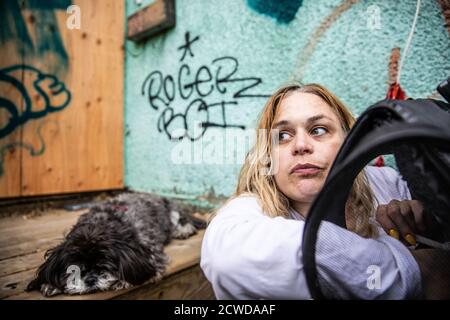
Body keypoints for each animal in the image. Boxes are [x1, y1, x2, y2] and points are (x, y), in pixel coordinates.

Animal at [27, 191, 203, 296]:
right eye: (74, 269)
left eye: (104, 265)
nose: (90, 279)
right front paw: (51, 284)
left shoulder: (149, 250)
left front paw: (122, 280)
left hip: (173, 212)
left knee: (184, 220)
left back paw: (183, 231)